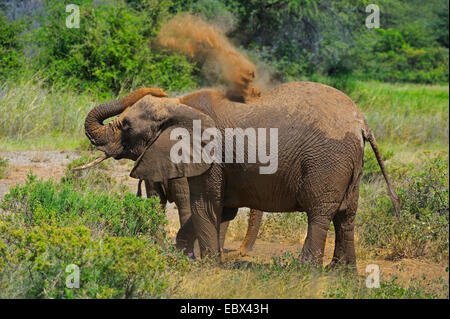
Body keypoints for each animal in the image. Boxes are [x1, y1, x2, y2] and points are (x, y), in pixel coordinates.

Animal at [82, 84, 400, 268]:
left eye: (125, 126)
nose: (158, 89)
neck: (179, 105)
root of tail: (361, 123)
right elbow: (220, 211)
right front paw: (186, 258)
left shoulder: (211, 156)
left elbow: (204, 207)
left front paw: (207, 268)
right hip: (350, 164)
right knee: (346, 216)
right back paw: (341, 275)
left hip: (327, 161)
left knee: (320, 214)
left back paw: (304, 274)